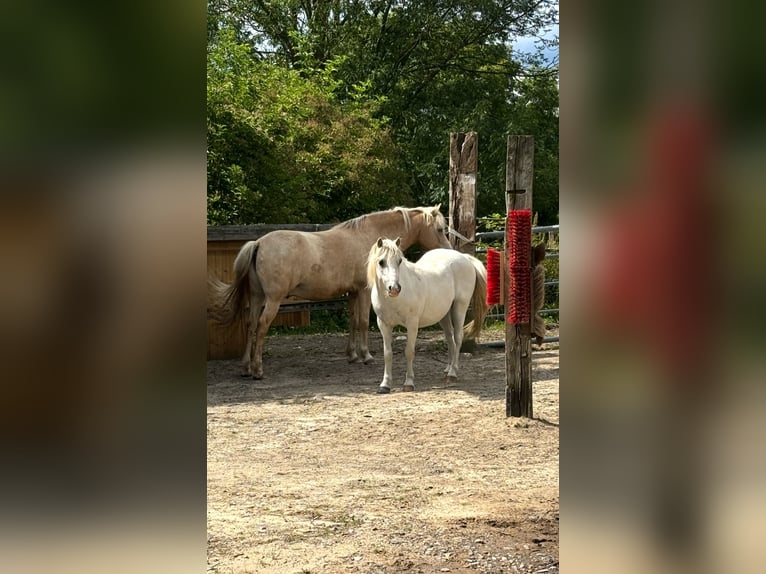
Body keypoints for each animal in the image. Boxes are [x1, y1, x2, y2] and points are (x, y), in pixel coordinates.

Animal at [207, 206, 452, 378]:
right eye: (440, 229)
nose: (450, 250)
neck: (369, 237)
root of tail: (258, 243)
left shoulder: (352, 293)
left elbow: (353, 322)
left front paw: (352, 355)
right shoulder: (364, 291)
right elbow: (363, 322)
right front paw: (366, 355)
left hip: (257, 297)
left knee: (250, 325)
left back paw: (246, 367)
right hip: (273, 300)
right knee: (261, 326)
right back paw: (258, 370)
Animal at [368, 236, 488, 394]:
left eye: (399, 261)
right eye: (381, 262)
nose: (394, 288)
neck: (392, 300)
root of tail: (465, 258)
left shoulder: (412, 324)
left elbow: (409, 351)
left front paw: (409, 383)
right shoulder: (384, 324)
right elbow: (387, 354)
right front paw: (385, 385)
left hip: (459, 308)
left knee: (458, 337)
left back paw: (452, 373)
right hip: (444, 314)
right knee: (450, 339)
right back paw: (448, 369)